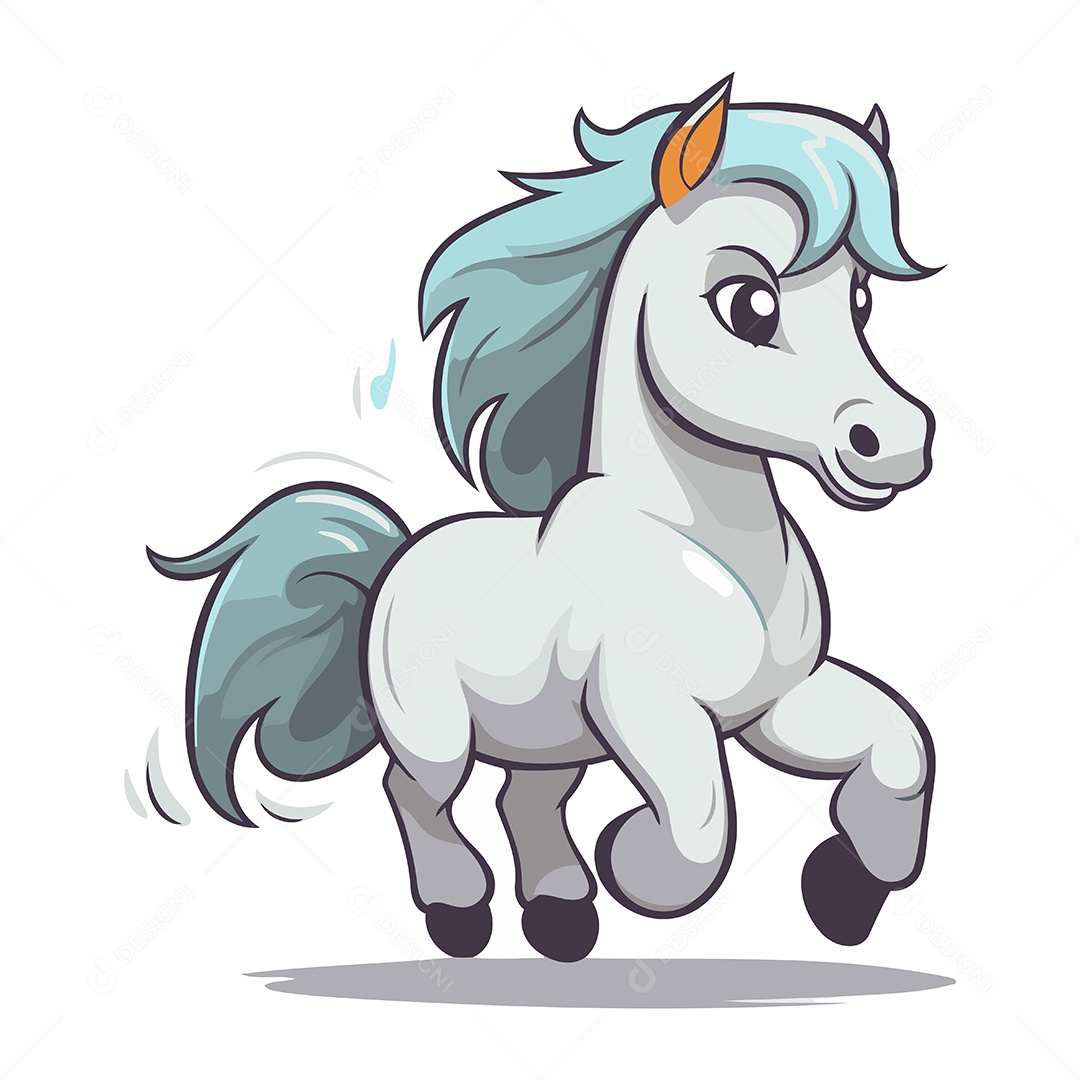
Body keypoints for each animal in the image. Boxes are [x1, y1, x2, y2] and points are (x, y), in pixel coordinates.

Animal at [149, 74, 938, 964]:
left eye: (861, 299)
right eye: (749, 304)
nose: (895, 442)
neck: (705, 550)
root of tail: (391, 564)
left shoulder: (777, 702)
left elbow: (901, 749)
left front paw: (844, 894)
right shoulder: (650, 711)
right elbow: (701, 828)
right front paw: (633, 860)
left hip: (547, 738)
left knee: (523, 803)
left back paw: (562, 915)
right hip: (437, 735)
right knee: (415, 794)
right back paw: (461, 913)